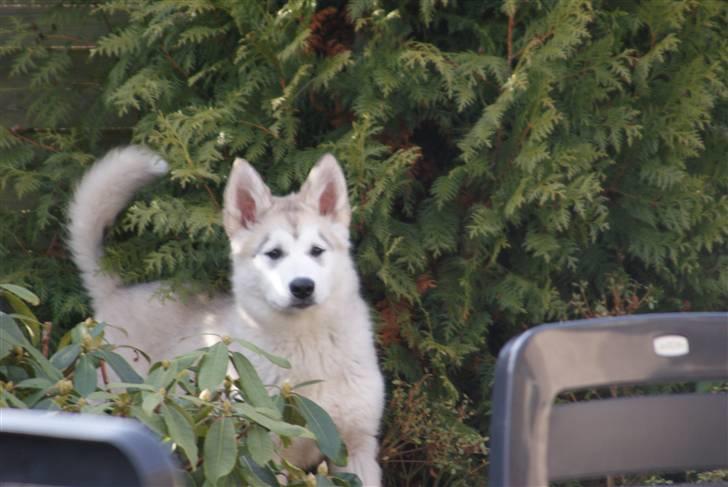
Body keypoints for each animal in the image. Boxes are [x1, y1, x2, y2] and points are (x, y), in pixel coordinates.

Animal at [69, 147, 386, 486]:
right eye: (274, 254)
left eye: (316, 250)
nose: (302, 287)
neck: (306, 345)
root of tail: (114, 291)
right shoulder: (263, 454)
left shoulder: (356, 448)